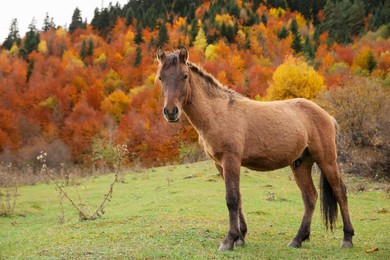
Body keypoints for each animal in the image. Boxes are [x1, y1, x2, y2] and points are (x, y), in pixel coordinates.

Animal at [155, 45, 354, 251]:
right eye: (160, 77)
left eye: (185, 76)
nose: (171, 112)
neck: (218, 112)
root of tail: (327, 116)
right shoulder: (220, 165)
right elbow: (239, 198)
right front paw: (240, 237)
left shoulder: (231, 160)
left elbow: (232, 199)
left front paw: (229, 240)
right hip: (301, 164)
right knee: (310, 197)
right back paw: (298, 239)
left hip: (326, 160)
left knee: (340, 192)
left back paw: (347, 238)